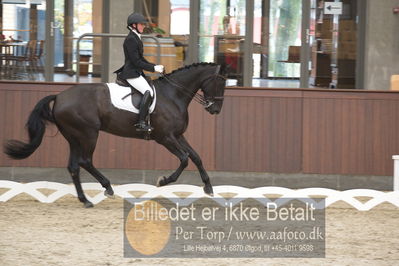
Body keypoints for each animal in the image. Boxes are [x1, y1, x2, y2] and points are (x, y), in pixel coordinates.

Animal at [4, 62, 227, 208]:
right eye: (220, 83)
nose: (215, 109)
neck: (173, 95)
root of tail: (59, 96)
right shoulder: (165, 138)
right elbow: (184, 159)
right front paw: (163, 181)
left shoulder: (178, 135)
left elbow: (196, 157)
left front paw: (208, 187)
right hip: (88, 133)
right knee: (85, 161)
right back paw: (108, 187)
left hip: (73, 137)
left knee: (74, 166)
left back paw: (85, 200)